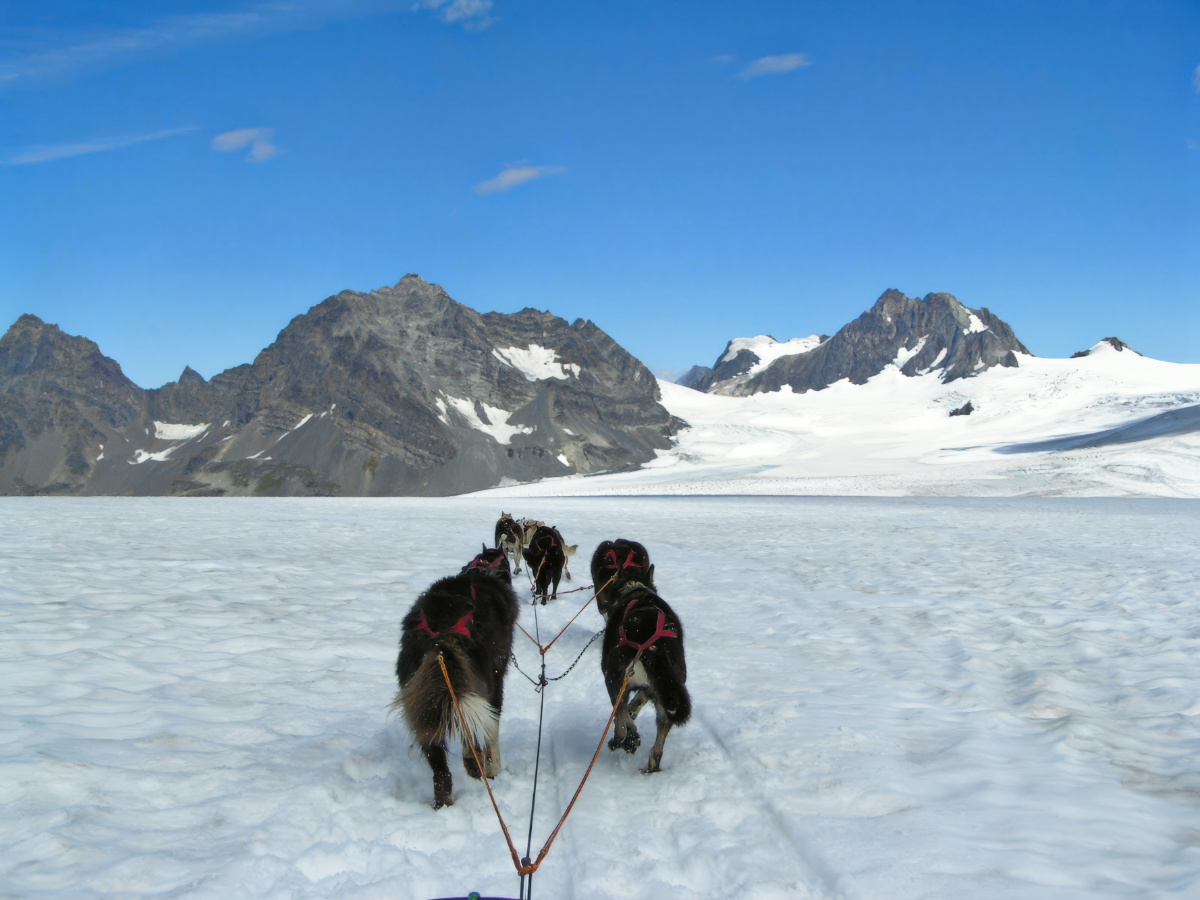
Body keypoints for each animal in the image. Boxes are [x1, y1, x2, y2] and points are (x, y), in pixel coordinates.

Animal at [393, 547, 520, 816]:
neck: (482, 570)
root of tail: (440, 639)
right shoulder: (495, 683)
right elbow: (492, 730)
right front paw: (494, 768)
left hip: (422, 702)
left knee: (441, 769)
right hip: (478, 683)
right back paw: (477, 764)